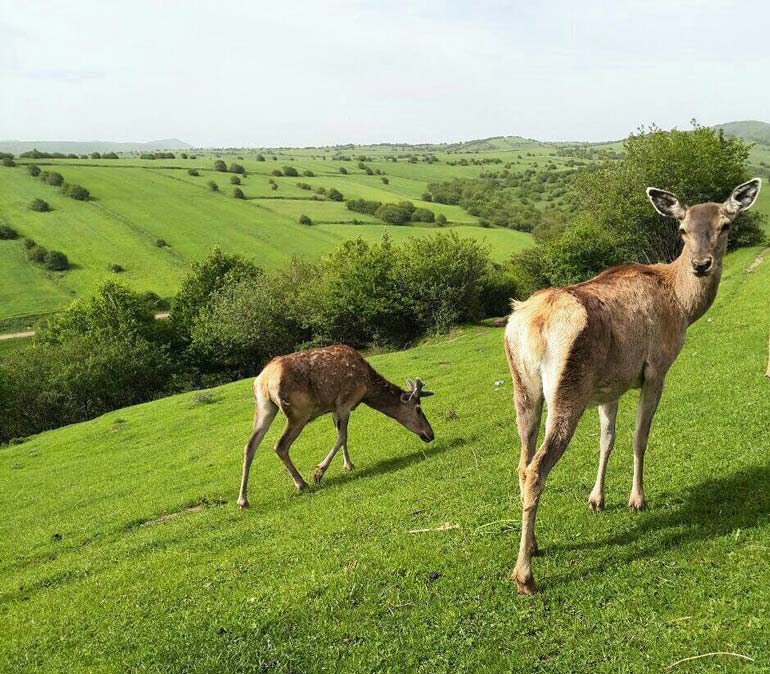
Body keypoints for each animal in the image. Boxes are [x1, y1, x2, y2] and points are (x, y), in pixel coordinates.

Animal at [236, 342, 432, 504]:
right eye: (418, 409)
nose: (430, 434)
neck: (367, 387)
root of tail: (263, 380)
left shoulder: (333, 409)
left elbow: (343, 436)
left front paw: (348, 465)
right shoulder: (345, 403)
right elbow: (342, 436)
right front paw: (319, 472)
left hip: (264, 407)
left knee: (250, 445)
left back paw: (243, 500)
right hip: (298, 413)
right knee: (280, 445)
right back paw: (302, 483)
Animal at [500, 176, 760, 592]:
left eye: (725, 225)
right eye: (682, 229)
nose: (701, 265)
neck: (682, 307)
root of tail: (532, 324)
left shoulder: (610, 385)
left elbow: (607, 439)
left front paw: (597, 499)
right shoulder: (656, 368)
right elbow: (640, 435)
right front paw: (637, 499)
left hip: (523, 388)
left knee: (523, 463)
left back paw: (535, 543)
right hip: (568, 387)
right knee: (538, 466)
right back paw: (524, 574)